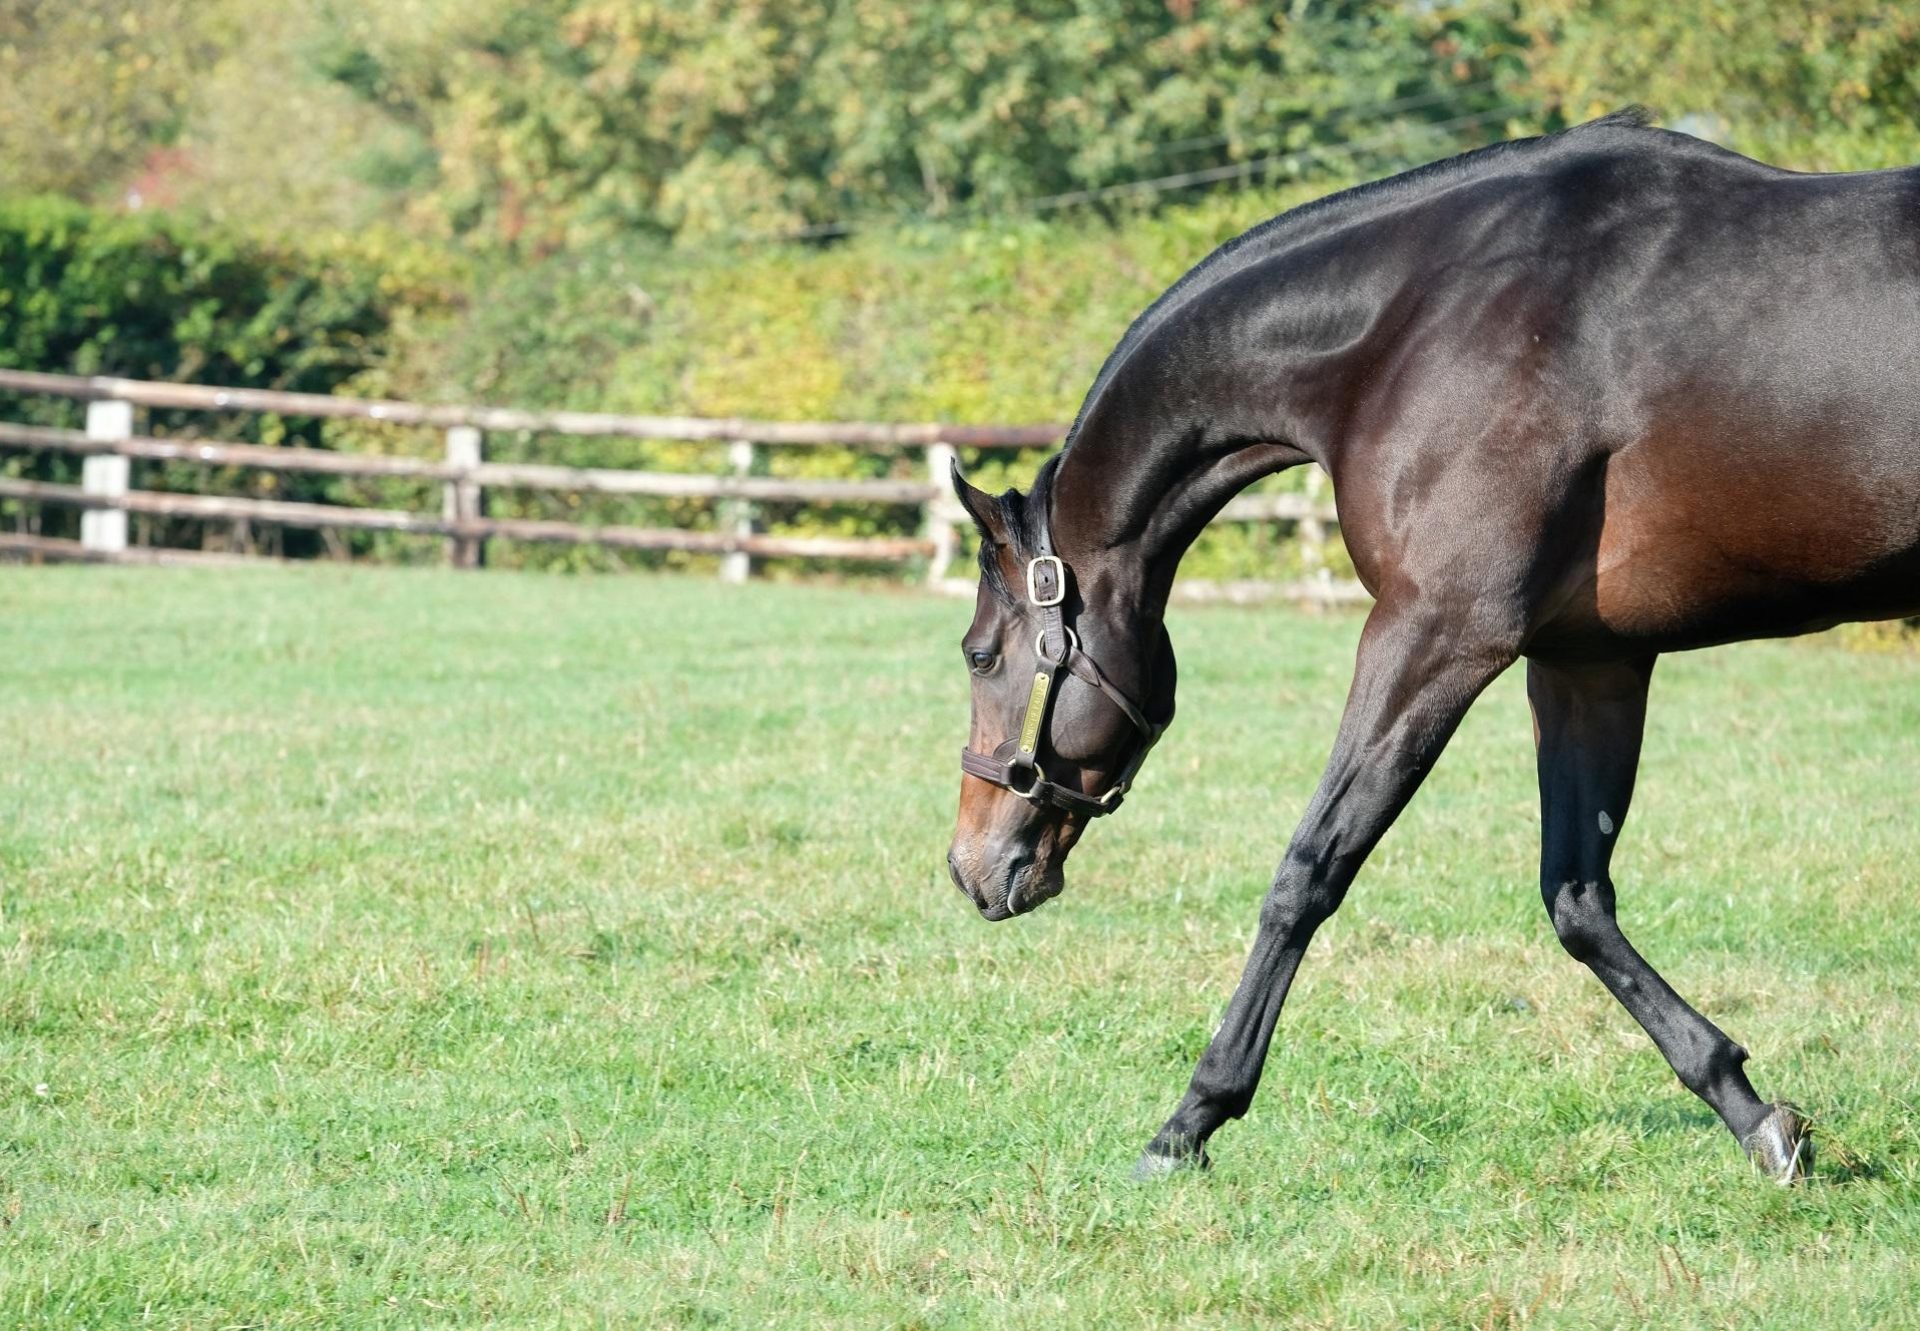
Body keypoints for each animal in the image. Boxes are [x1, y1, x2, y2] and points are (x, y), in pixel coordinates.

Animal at [944, 108, 1920, 1175]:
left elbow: (1309, 869)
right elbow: (1578, 896)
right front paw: (1752, 1110)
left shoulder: (1434, 634)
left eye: (981, 655)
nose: (970, 869)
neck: (1418, 326)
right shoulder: (1586, 662)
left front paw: (1190, 1119)